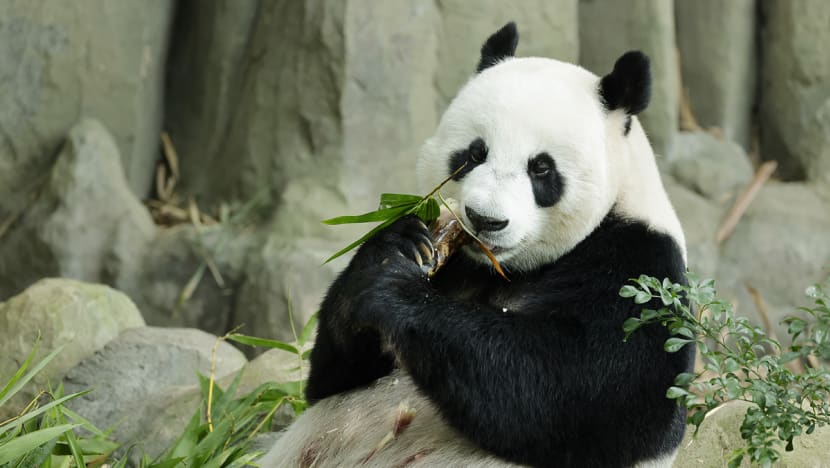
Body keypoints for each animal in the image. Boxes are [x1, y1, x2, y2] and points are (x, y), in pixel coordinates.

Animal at [260, 22, 692, 468]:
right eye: (474, 153)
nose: (485, 220)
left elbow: (571, 386)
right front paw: (396, 249)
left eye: (541, 168)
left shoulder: (637, 268)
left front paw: (393, 290)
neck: (510, 269)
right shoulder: (459, 265)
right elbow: (330, 379)